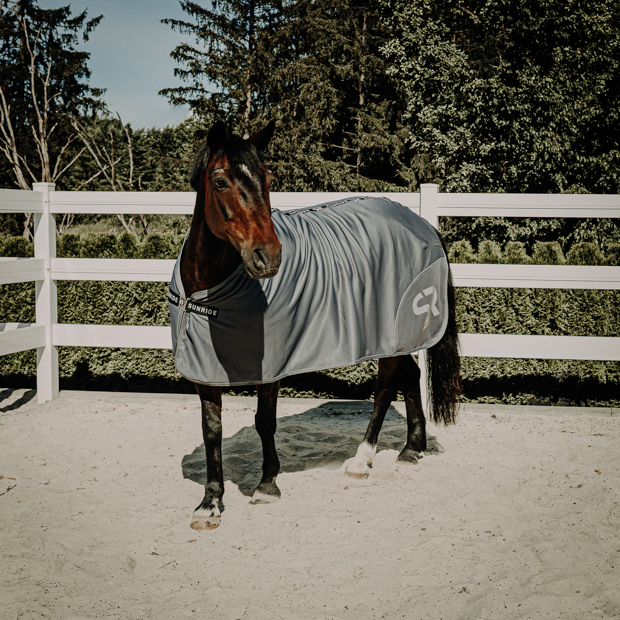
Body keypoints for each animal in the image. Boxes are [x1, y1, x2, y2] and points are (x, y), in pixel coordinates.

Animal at [170, 122, 460, 532]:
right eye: (220, 180)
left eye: (268, 178)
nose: (269, 256)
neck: (207, 295)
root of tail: (422, 224)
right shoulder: (204, 370)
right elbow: (212, 431)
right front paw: (210, 504)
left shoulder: (271, 367)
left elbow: (265, 422)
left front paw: (267, 485)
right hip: (396, 337)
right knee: (410, 375)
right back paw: (412, 448)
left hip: (389, 335)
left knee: (386, 388)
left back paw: (362, 460)